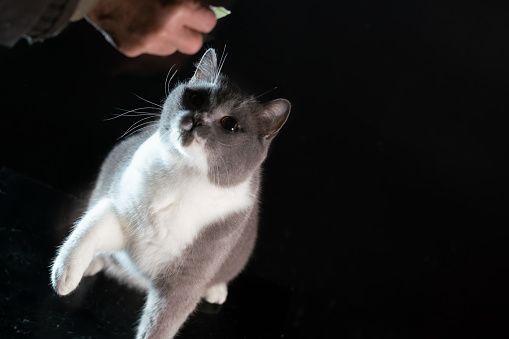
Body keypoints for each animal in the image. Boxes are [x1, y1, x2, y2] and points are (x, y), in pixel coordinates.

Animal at [51, 48, 292, 339]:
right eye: (196, 97)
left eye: (230, 124)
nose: (197, 118)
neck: (183, 178)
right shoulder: (120, 207)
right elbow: (88, 228)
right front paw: (64, 277)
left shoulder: (187, 278)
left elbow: (162, 324)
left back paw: (216, 290)